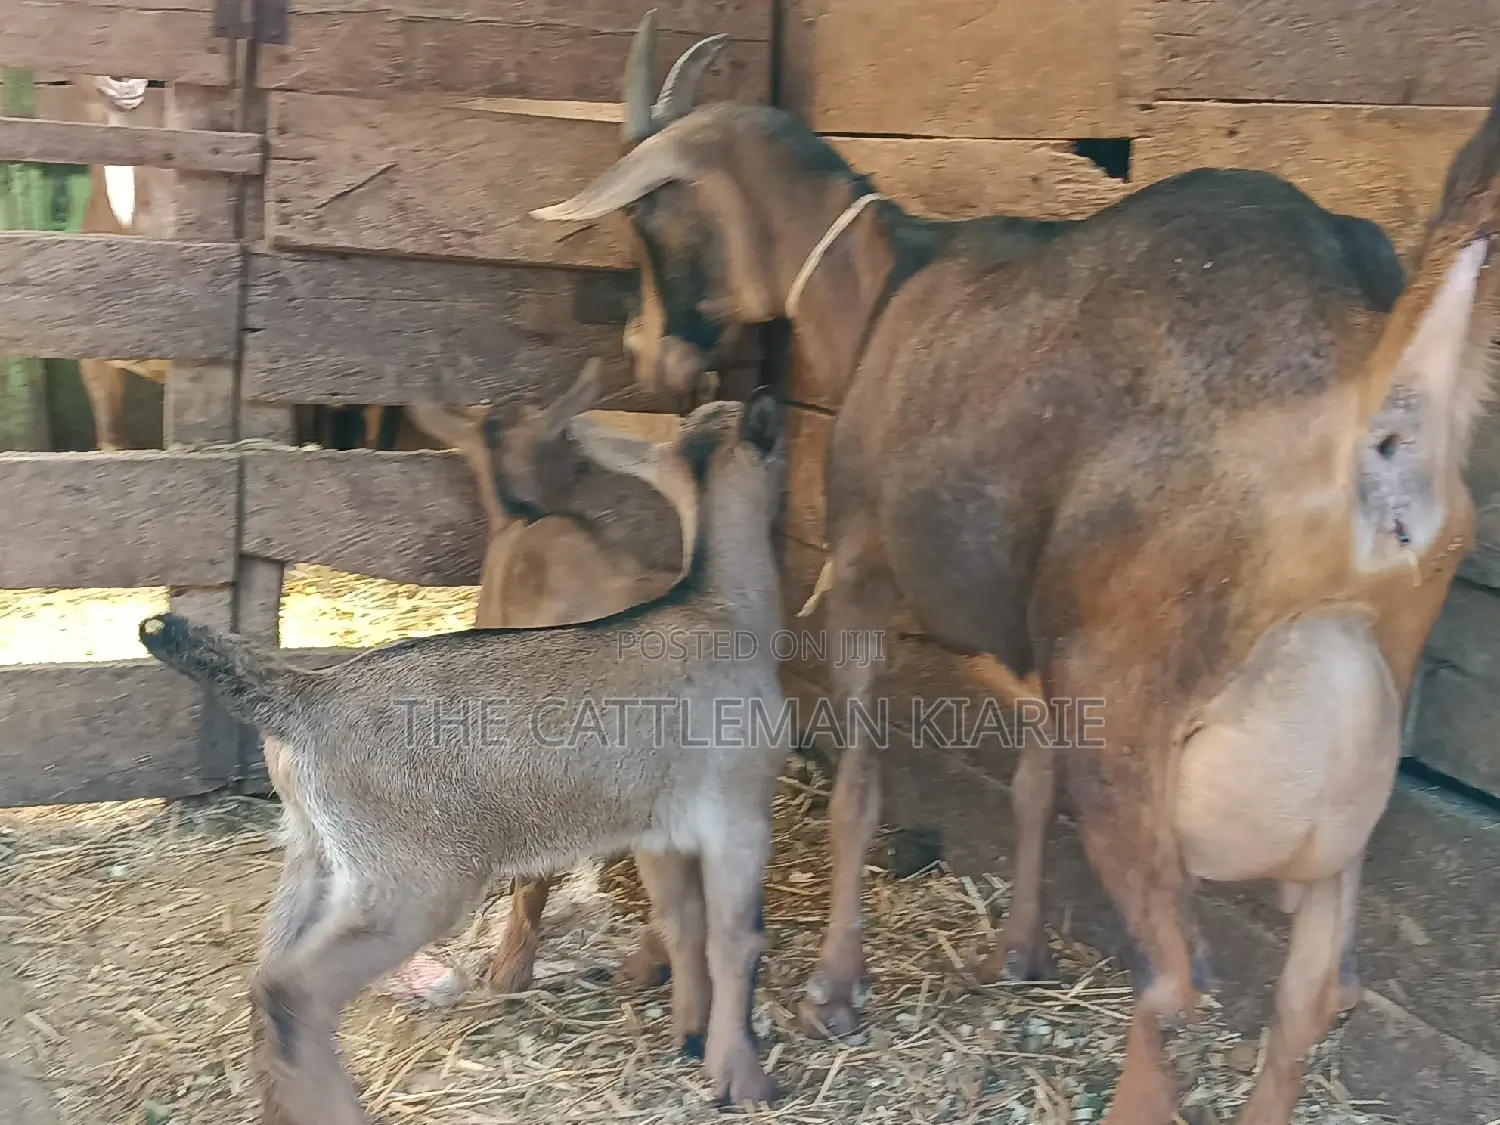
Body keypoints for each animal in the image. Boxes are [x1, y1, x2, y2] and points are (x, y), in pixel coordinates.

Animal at [533, 22, 1500, 1122]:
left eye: (651, 209)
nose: (646, 353)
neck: (882, 286)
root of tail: (1374, 403)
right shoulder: (1033, 639)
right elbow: (1031, 784)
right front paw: (1021, 950)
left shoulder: (862, 567)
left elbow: (861, 782)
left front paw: (835, 988)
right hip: (1355, 732)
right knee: (1314, 992)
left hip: (1123, 699)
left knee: (1175, 980)